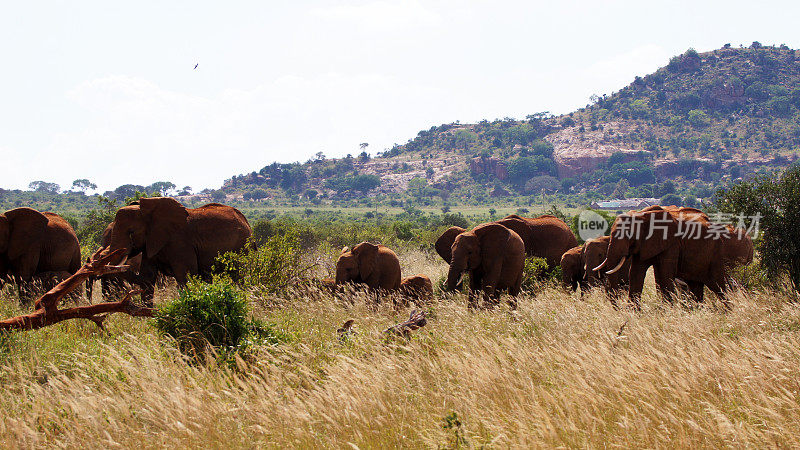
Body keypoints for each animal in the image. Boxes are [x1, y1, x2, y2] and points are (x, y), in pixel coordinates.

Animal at [100, 198, 252, 306]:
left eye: (131, 233)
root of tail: (246, 221)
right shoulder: (151, 242)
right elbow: (148, 277)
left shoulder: (181, 243)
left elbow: (185, 277)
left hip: (242, 246)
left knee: (238, 276)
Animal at [596, 204, 752, 310]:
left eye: (627, 235)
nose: (618, 308)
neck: (641, 214)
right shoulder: (644, 245)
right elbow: (636, 273)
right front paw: (633, 313)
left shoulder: (672, 244)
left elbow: (665, 274)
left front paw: (667, 311)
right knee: (696, 285)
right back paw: (698, 310)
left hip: (716, 254)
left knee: (718, 285)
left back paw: (728, 311)